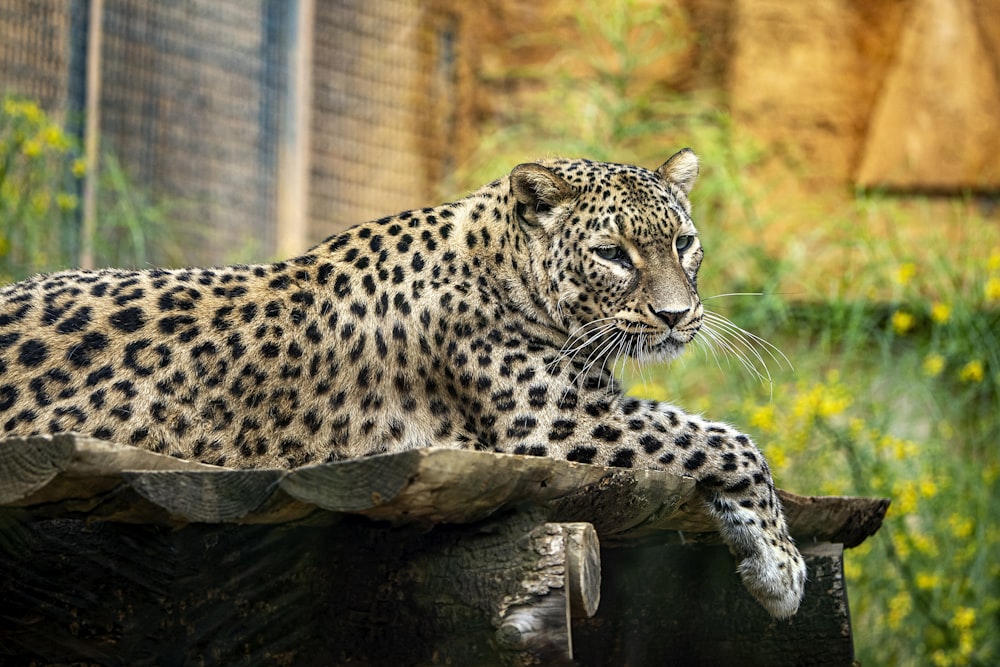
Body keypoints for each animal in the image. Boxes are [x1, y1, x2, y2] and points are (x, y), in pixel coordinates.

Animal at [0, 149, 804, 620]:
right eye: (611, 254)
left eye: (684, 243)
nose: (678, 315)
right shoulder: (553, 421)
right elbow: (729, 440)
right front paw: (783, 569)